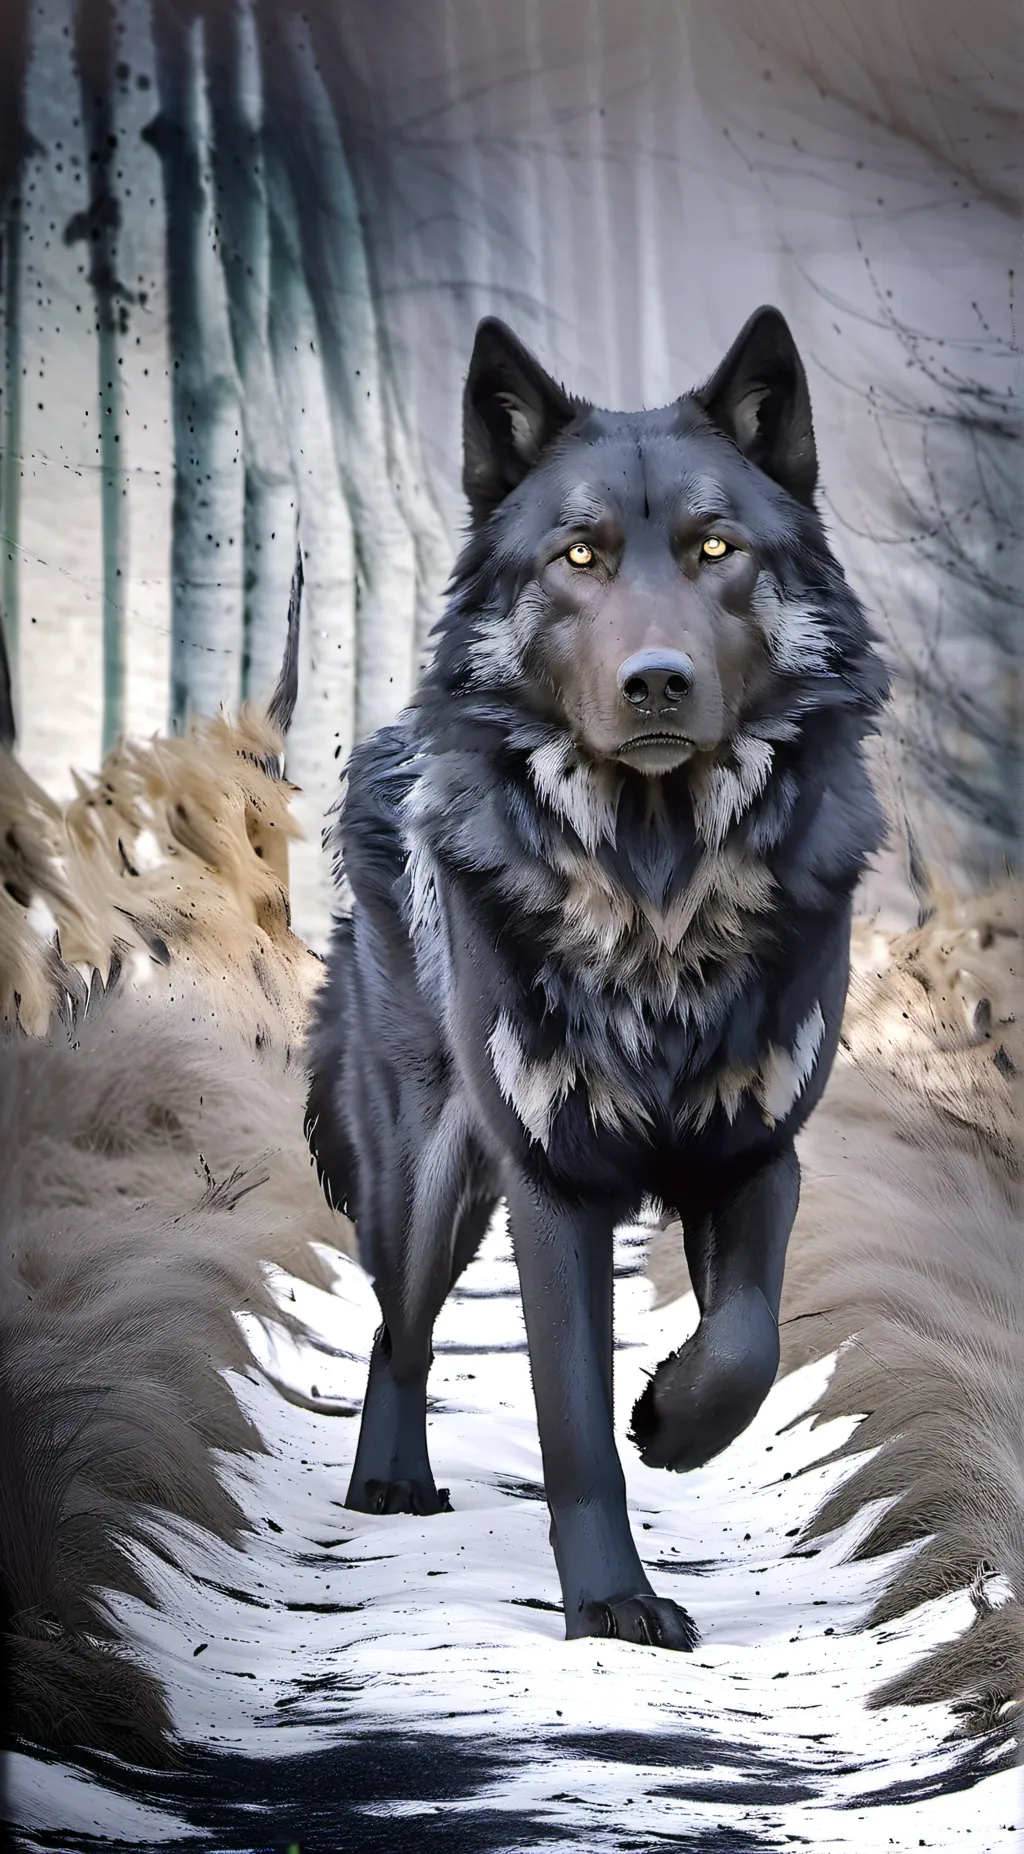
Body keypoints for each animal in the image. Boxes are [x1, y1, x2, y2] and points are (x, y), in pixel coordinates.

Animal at [305, 307, 890, 1649]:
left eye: (716, 547)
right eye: (579, 554)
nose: (657, 679)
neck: (655, 896)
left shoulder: (756, 1154)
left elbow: (745, 1342)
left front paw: (672, 1419)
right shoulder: (550, 1183)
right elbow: (570, 1419)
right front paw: (612, 1606)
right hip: (428, 1178)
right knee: (398, 1327)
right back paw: (388, 1482)